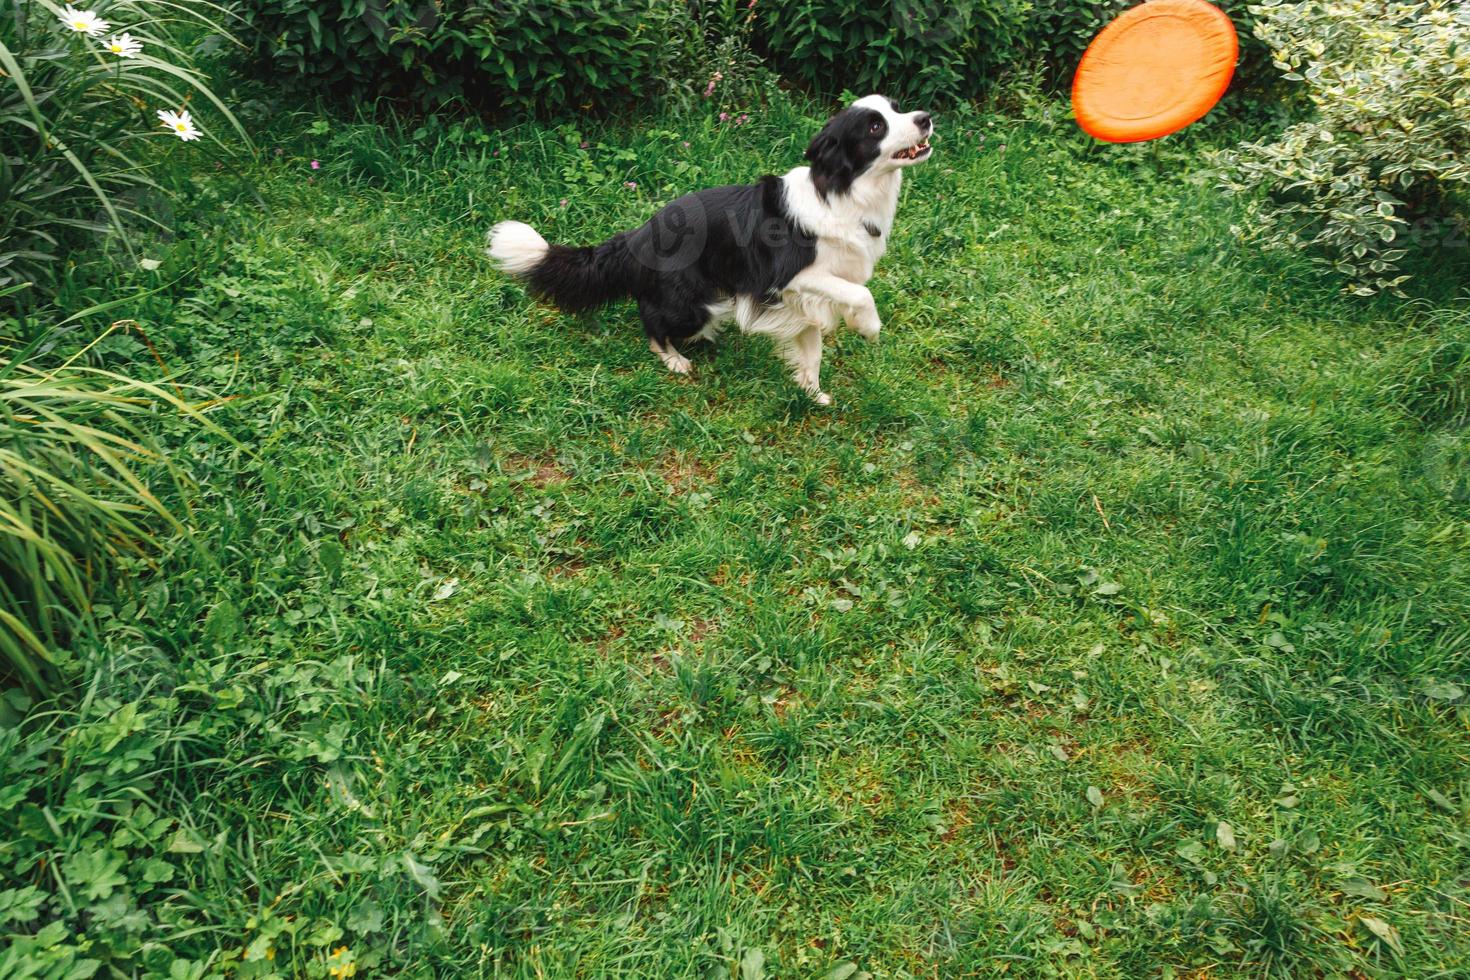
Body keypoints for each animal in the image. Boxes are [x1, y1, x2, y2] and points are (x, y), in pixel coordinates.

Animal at [488, 95, 934, 405]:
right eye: (875, 127)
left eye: (897, 108)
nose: (925, 118)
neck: (843, 193)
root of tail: (636, 237)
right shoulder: (790, 277)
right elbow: (860, 293)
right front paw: (869, 327)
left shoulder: (805, 301)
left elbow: (811, 350)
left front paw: (810, 393)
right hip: (694, 307)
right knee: (653, 323)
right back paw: (674, 359)